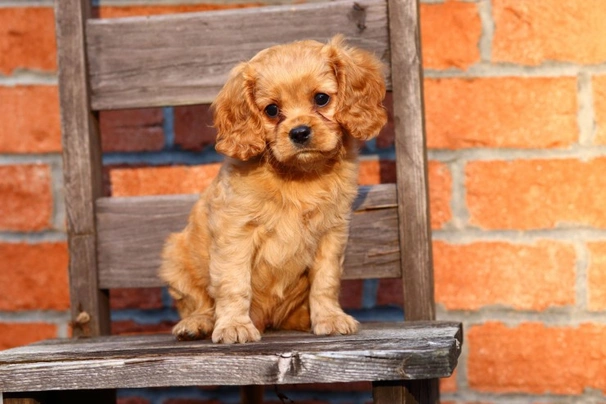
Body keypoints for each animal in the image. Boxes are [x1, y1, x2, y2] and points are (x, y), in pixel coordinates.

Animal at [160, 35, 390, 344]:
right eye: (271, 110)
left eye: (321, 99)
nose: (300, 132)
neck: (298, 176)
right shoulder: (235, 234)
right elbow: (234, 283)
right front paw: (233, 325)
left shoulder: (332, 234)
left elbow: (326, 281)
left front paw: (329, 318)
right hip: (176, 257)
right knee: (198, 302)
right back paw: (197, 323)